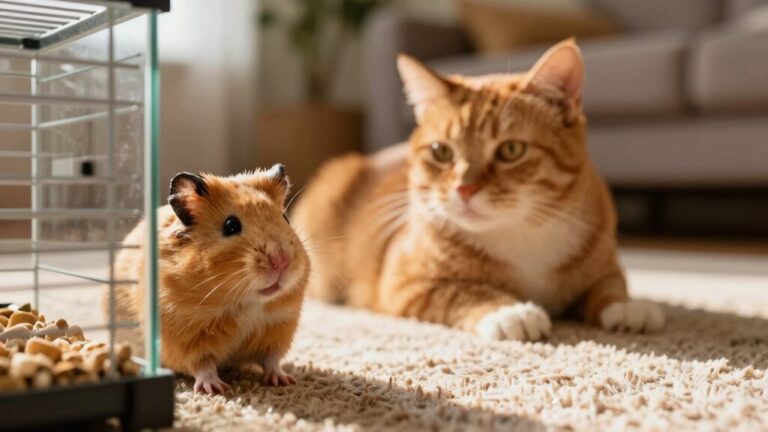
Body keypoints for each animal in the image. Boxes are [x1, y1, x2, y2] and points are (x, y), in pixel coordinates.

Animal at [110, 165, 310, 393]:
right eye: (231, 226)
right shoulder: (184, 338)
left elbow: (272, 360)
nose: (282, 261)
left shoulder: (279, 328)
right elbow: (203, 365)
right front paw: (216, 389)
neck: (247, 302)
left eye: (285, 218)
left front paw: (284, 381)